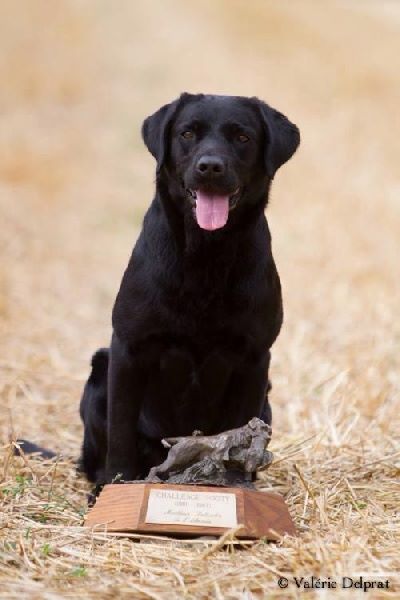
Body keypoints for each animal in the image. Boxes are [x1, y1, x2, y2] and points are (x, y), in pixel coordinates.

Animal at [79, 95, 300, 488]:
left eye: (242, 137)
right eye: (187, 133)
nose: (209, 166)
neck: (204, 256)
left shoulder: (254, 356)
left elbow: (242, 429)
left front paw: (237, 484)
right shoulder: (129, 347)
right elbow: (120, 430)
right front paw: (115, 486)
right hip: (99, 371)